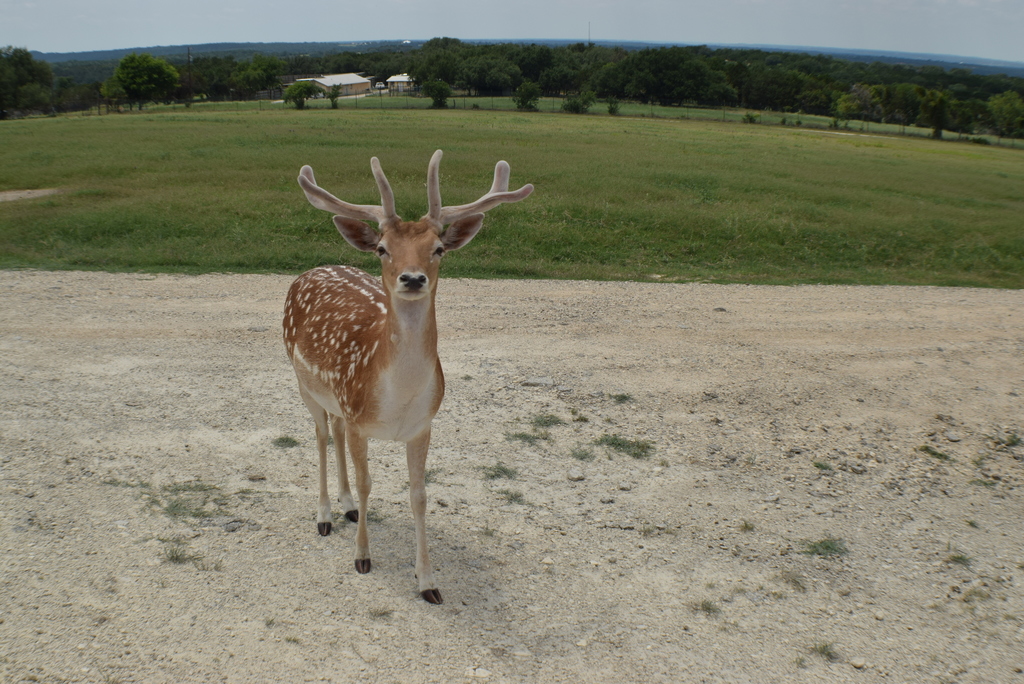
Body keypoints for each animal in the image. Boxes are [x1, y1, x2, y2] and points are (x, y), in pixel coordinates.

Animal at [283, 150, 533, 604]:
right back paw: (325, 514)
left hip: (338, 400)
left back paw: (345, 506)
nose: (413, 278)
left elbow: (419, 496)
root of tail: (312, 270)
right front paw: (363, 557)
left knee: (336, 432)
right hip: (302, 382)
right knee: (322, 435)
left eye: (438, 248)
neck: (397, 399)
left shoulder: (422, 426)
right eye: (383, 248)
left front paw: (428, 581)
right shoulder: (361, 420)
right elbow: (368, 483)